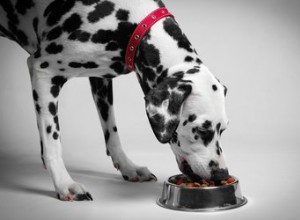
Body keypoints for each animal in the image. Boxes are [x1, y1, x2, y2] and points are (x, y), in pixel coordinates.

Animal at [0, 0, 230, 200]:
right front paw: (64, 183)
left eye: (224, 130)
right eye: (201, 130)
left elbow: (112, 132)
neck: (129, 21)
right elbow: (52, 141)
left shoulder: (101, 79)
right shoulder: (43, 72)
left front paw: (128, 167)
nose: (222, 174)